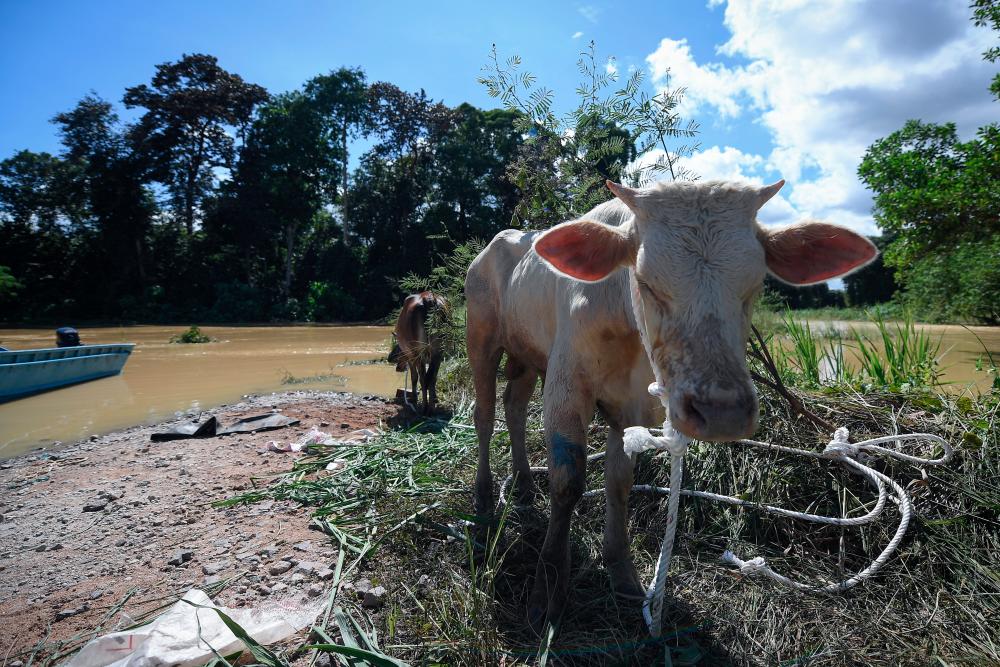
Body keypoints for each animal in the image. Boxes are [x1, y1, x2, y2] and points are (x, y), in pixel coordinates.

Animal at [464, 179, 877, 631]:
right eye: (646, 283)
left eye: (755, 286)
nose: (722, 413)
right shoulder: (565, 386)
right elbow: (568, 482)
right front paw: (547, 592)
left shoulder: (632, 405)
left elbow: (619, 482)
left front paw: (622, 573)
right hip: (481, 336)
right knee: (485, 415)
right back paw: (484, 496)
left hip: (525, 355)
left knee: (514, 408)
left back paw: (522, 485)